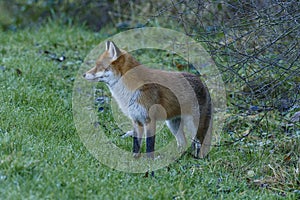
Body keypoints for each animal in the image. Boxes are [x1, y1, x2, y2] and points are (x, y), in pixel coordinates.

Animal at [83, 41, 212, 159]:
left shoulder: (149, 119)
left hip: (194, 125)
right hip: (173, 124)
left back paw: (198, 159)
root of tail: (202, 81)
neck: (129, 90)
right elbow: (136, 144)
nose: (83, 74)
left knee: (200, 143)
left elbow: (150, 144)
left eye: (99, 66)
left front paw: (149, 162)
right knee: (183, 143)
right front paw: (135, 159)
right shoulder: (136, 119)